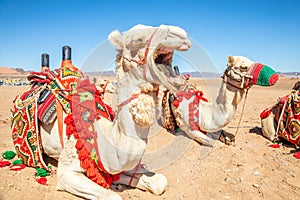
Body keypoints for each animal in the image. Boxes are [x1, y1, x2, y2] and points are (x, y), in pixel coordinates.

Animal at [37, 24, 190, 199]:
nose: (179, 33)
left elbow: (159, 182)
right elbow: (113, 196)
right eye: (136, 40)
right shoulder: (67, 171)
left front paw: (120, 183)